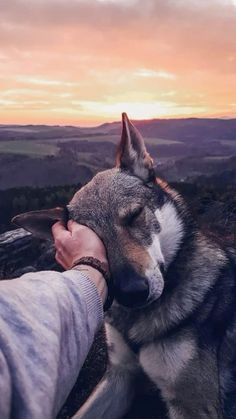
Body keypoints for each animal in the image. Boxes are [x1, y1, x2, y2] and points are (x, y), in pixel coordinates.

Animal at [13, 113, 236, 418]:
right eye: (95, 239)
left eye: (134, 216)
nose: (132, 293)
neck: (137, 323)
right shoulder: (119, 376)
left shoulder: (194, 405)